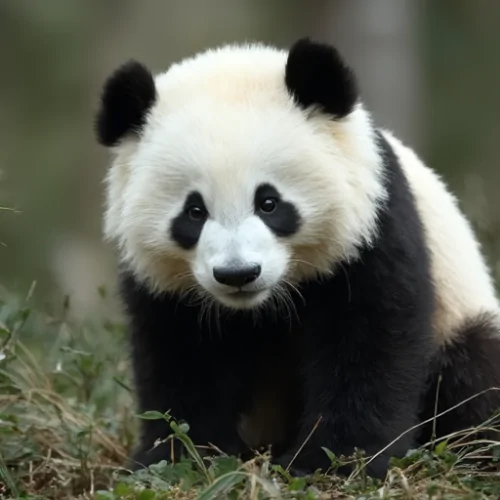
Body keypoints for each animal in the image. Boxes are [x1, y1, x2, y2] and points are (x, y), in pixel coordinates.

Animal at [94, 38, 500, 476]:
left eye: (269, 202)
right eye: (194, 211)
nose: (238, 274)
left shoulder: (371, 226)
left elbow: (370, 340)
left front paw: (330, 459)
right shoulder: (165, 286)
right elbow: (181, 358)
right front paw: (179, 457)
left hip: (460, 314)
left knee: (473, 372)